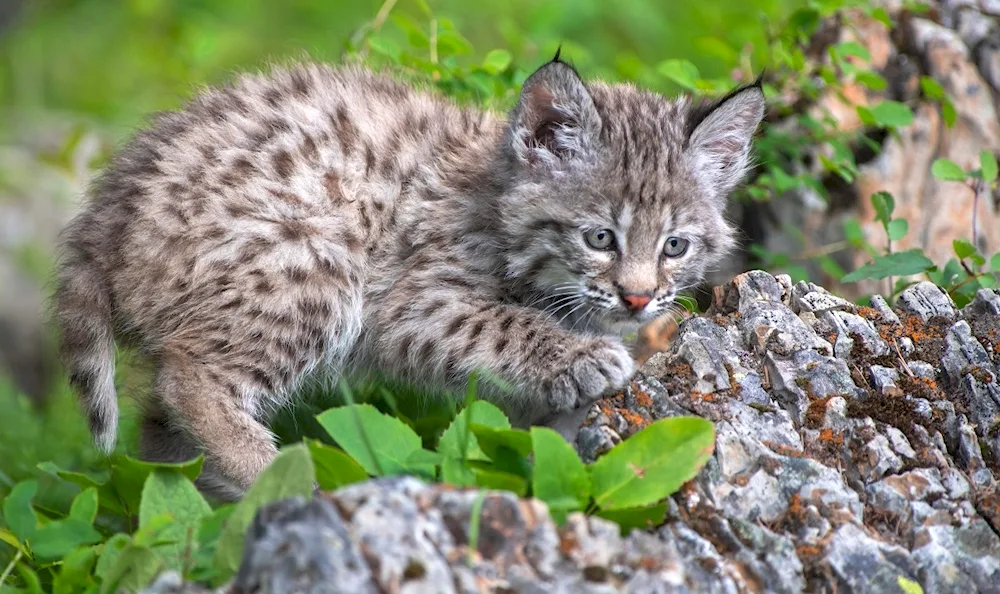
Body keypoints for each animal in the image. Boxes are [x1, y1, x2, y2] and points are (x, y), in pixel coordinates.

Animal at [54, 56, 760, 500]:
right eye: (600, 238)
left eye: (675, 246)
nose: (637, 298)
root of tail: (106, 207)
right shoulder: (412, 304)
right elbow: (502, 323)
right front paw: (580, 356)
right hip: (314, 258)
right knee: (188, 376)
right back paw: (290, 481)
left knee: (159, 429)